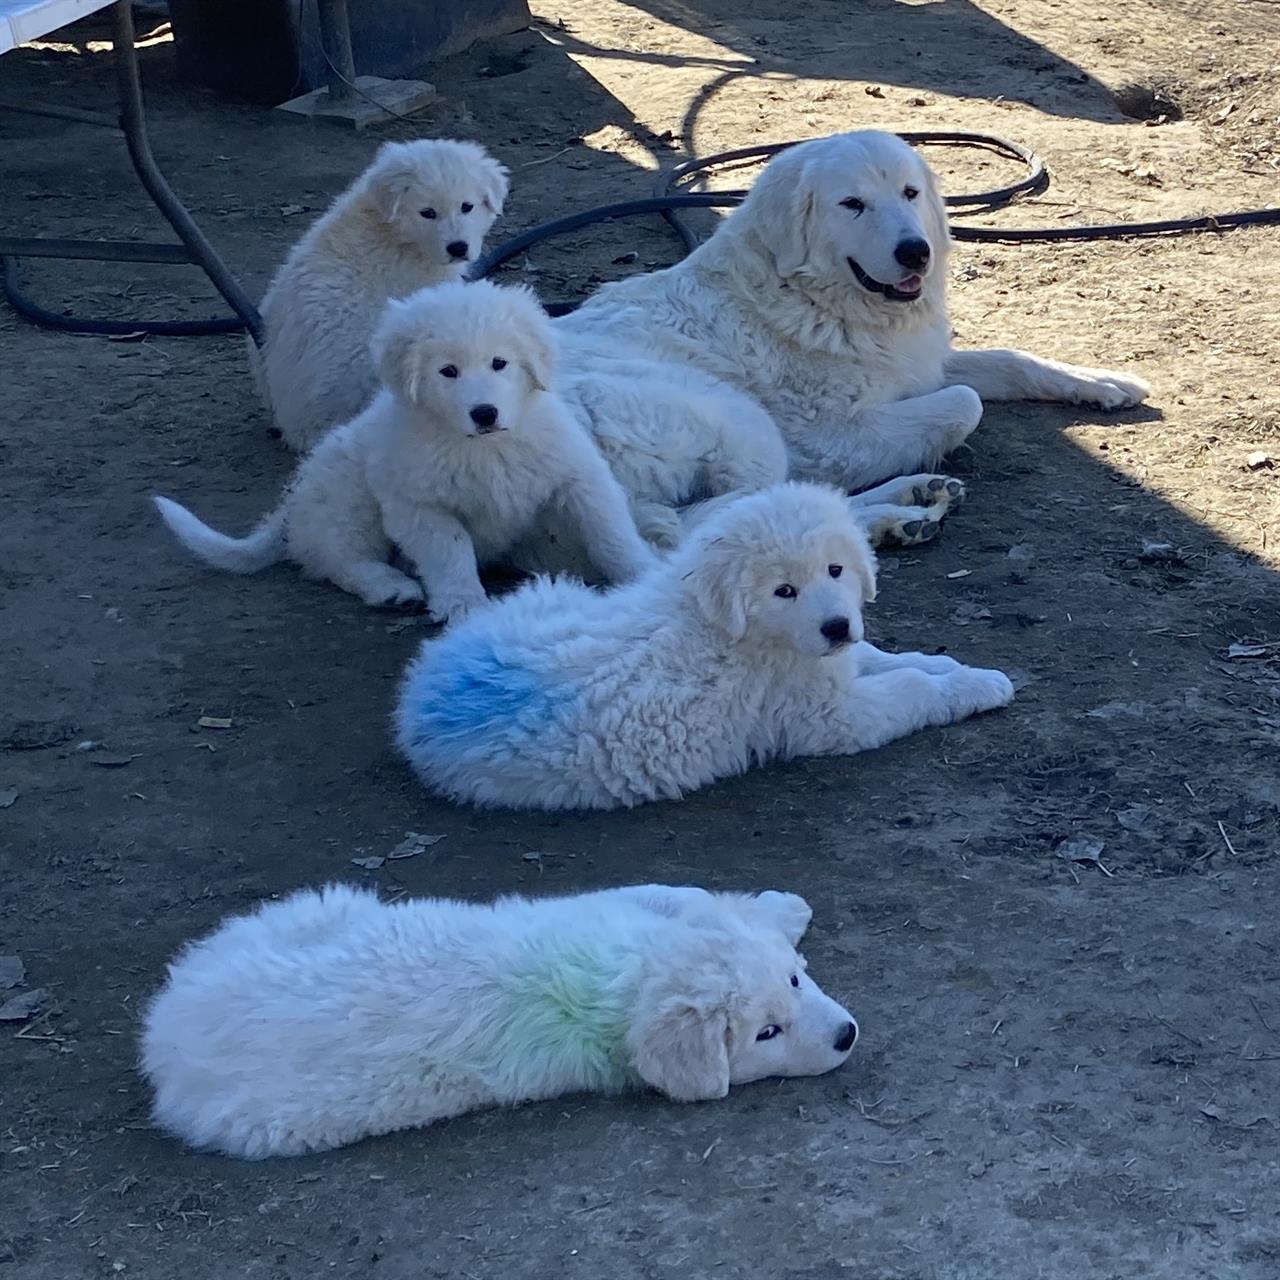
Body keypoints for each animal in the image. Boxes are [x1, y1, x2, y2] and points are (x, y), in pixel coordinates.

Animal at [142, 880, 860, 1162]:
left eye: (796, 981)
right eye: (766, 1034)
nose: (846, 1035)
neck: (625, 978)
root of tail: (165, 1033)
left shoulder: (611, 910)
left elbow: (677, 894)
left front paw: (777, 911)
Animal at [394, 481, 1013, 808]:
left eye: (836, 570)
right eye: (783, 590)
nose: (837, 626)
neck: (740, 629)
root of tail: (422, 701)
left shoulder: (827, 661)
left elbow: (885, 658)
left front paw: (956, 667)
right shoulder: (825, 717)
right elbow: (908, 688)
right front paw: (976, 686)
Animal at [550, 128, 1152, 545]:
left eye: (910, 193)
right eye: (852, 204)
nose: (916, 252)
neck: (811, 299)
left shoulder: (916, 364)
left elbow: (1009, 359)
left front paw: (1101, 382)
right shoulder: (827, 438)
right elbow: (966, 402)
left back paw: (907, 506)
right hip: (742, 424)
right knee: (723, 525)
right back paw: (894, 512)